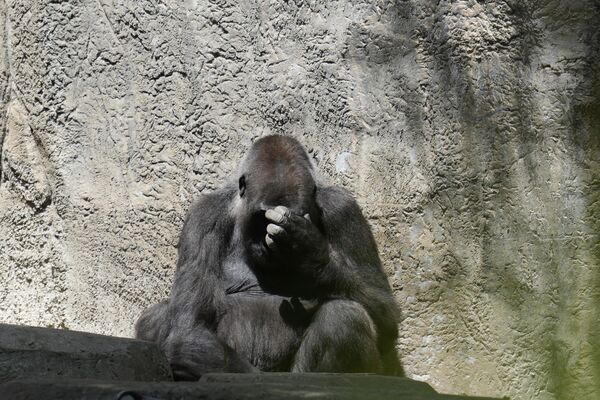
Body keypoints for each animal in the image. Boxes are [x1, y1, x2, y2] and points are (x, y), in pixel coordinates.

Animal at [137, 135, 404, 382]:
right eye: (260, 219)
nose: (267, 246)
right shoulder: (205, 215)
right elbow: (188, 328)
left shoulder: (343, 208)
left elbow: (386, 313)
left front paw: (311, 257)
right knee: (159, 316)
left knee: (345, 315)